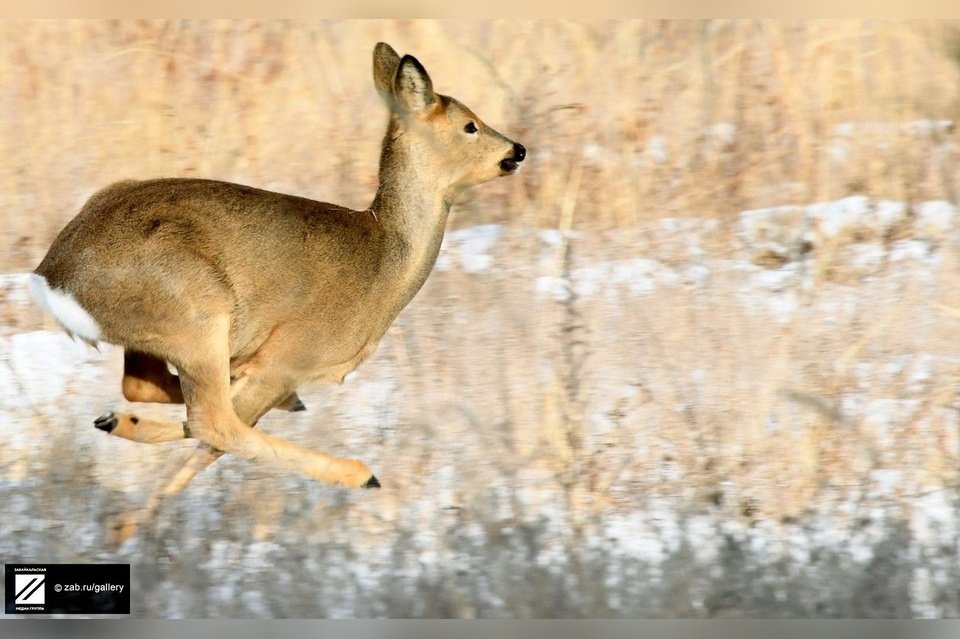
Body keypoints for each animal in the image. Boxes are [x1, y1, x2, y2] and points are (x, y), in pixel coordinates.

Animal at [28, 41, 524, 540]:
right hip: (198, 311)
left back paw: (120, 434)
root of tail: (54, 275)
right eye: (470, 124)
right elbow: (217, 433)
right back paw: (359, 472)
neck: (385, 259)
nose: (517, 150)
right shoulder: (286, 358)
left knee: (147, 388)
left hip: (163, 331)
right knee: (213, 422)